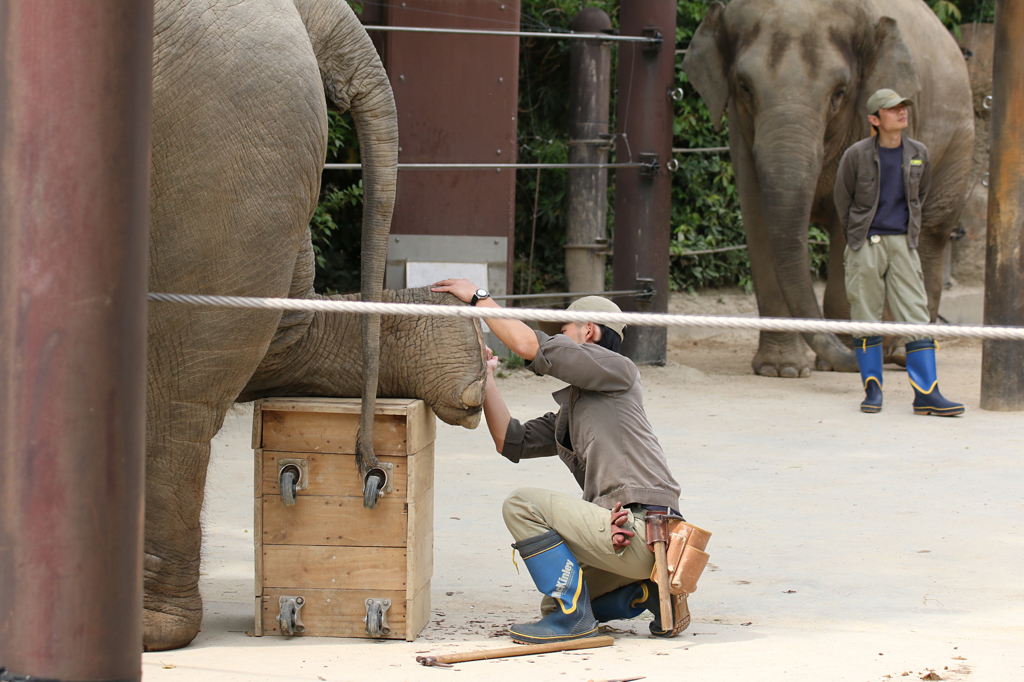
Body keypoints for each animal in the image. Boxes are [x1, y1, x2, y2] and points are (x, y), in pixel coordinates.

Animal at [684, 0, 970, 376]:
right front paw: (781, 370)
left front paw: (843, 359)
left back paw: (902, 353)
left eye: (840, 93)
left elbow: (851, 220)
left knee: (930, 232)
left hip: (957, 140)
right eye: (745, 87)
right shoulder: (740, 130)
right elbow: (758, 216)